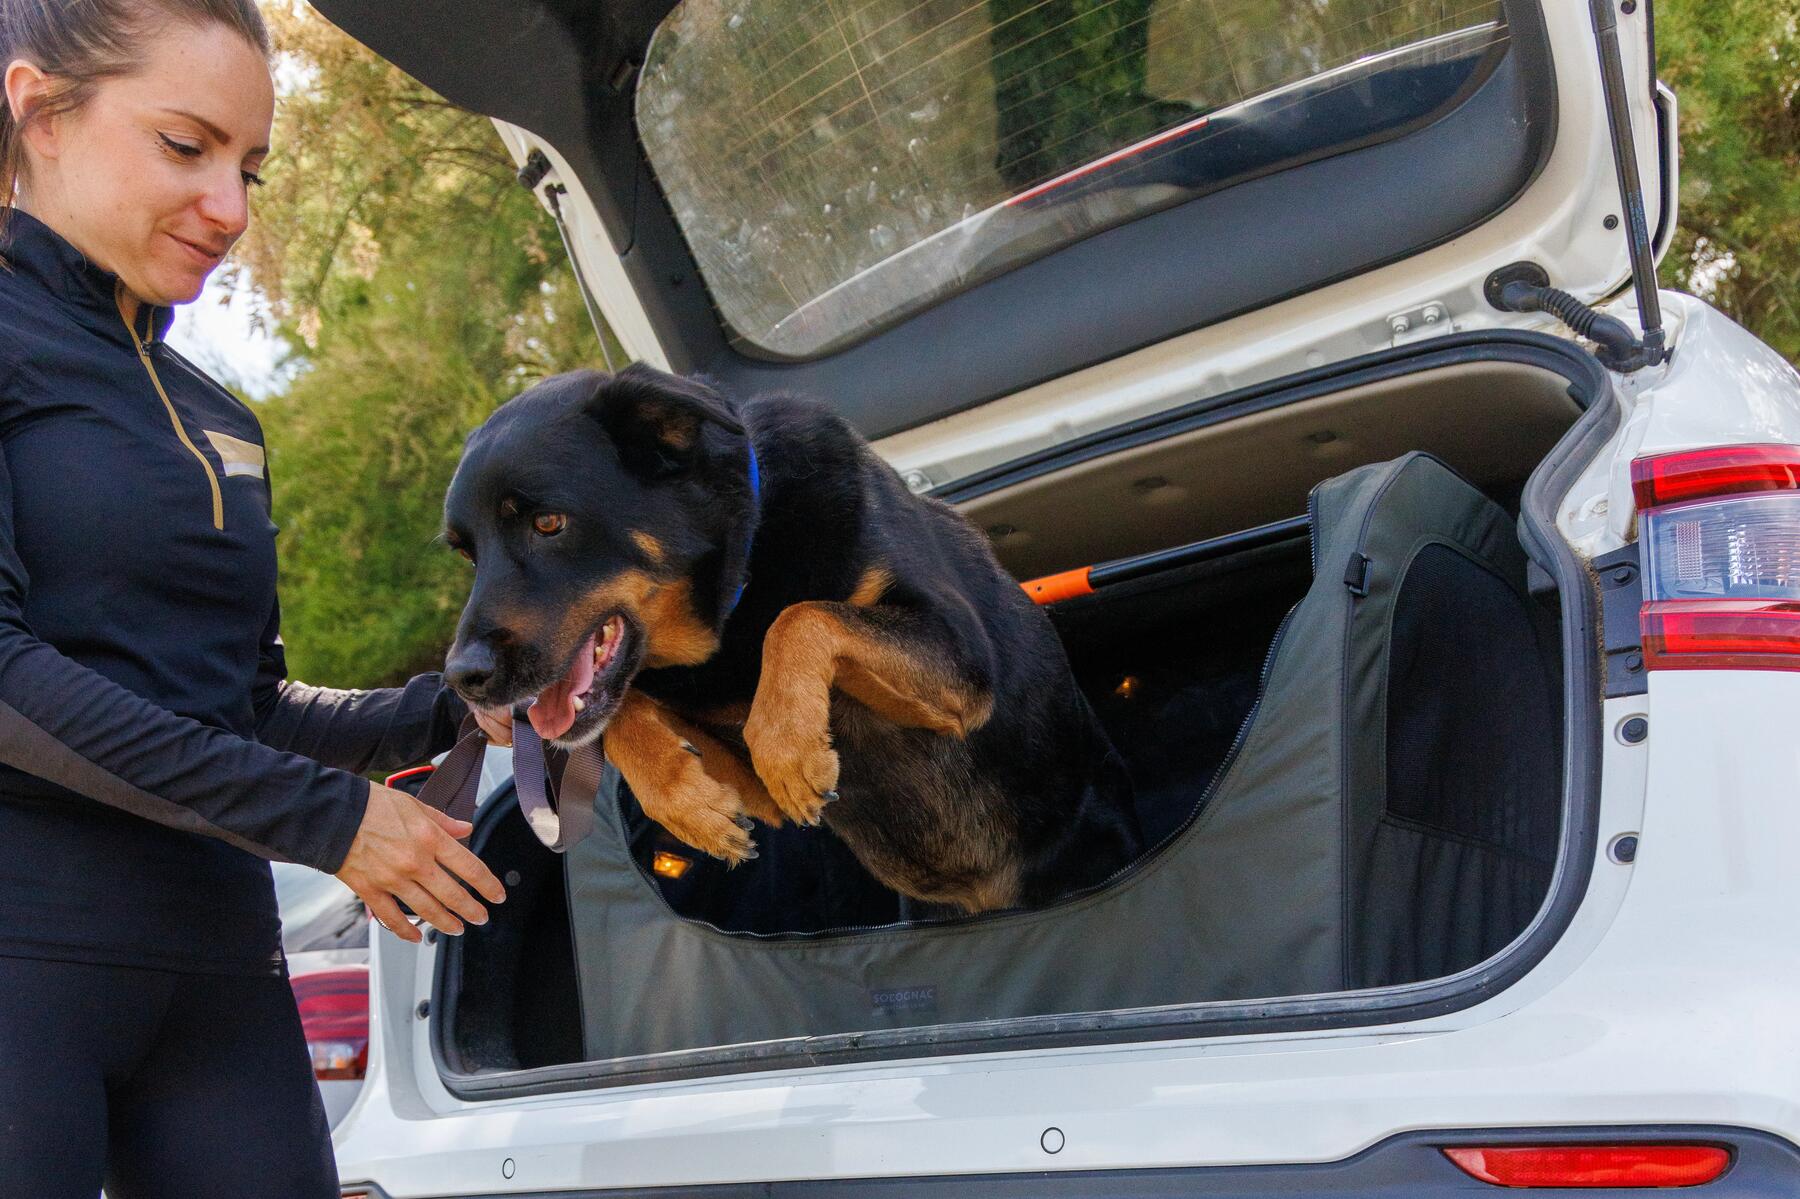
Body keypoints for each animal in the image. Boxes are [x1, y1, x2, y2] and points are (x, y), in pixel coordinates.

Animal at [439, 363, 1137, 907]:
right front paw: (685, 801)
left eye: (548, 522)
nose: (462, 680)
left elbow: (802, 615)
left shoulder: (963, 664)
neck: (735, 596)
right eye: (466, 553)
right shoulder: (754, 792)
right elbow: (627, 712)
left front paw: (788, 747)